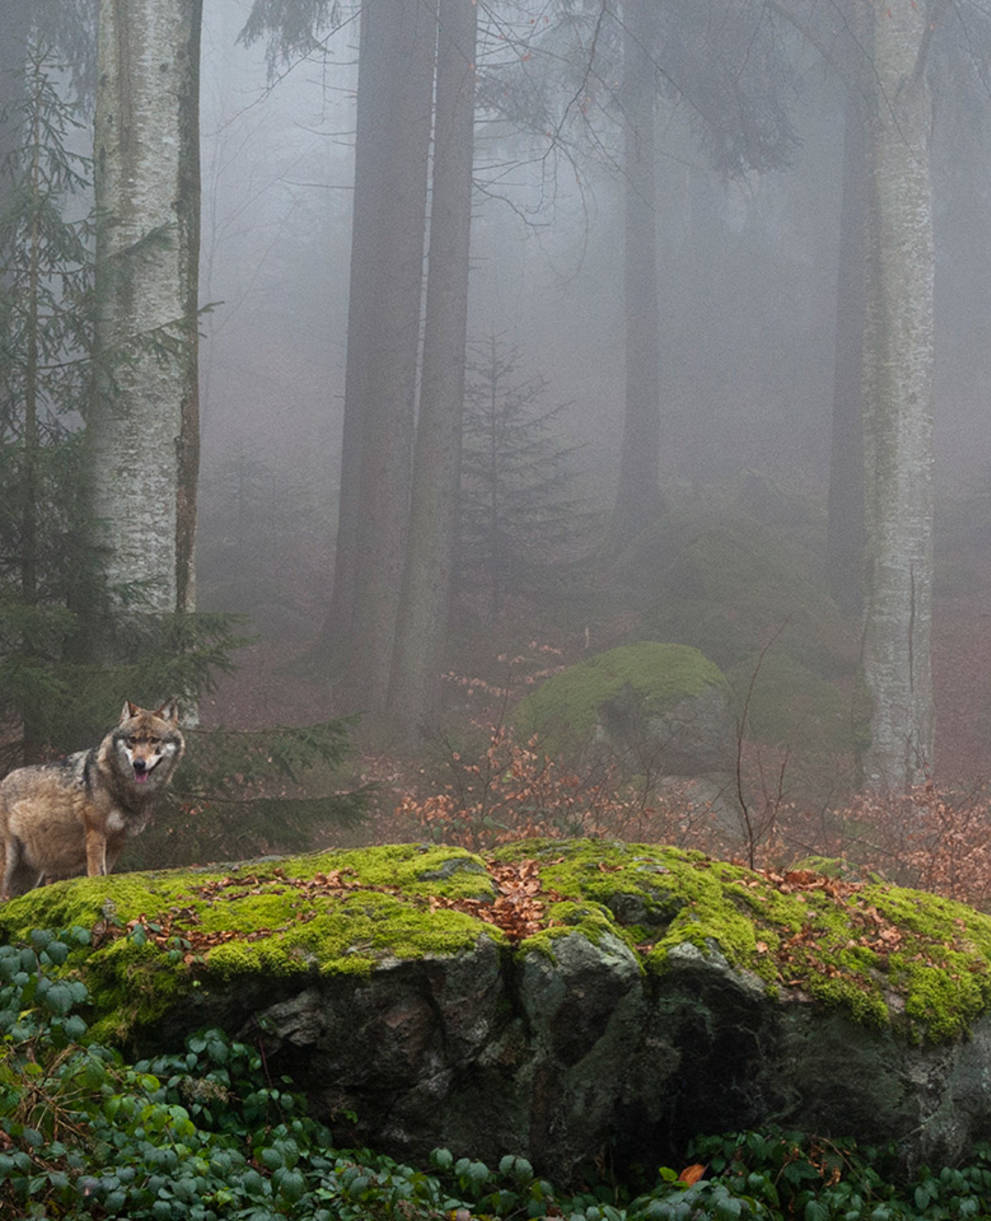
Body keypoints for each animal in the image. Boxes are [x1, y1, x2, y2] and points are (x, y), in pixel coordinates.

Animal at [0, 703, 184, 903]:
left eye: (154, 740)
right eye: (132, 740)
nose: (139, 764)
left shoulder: (118, 842)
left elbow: (106, 872)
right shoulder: (96, 832)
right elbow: (97, 873)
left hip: (29, 874)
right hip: (9, 861)